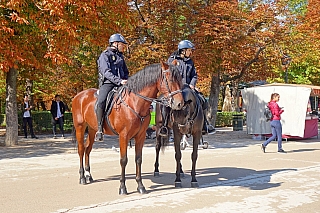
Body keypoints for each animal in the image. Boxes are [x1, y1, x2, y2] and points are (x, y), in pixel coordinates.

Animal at [71, 61, 184, 195]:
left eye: (180, 79)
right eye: (170, 79)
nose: (180, 104)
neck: (135, 102)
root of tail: (79, 95)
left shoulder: (140, 136)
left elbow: (138, 159)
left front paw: (140, 185)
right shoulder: (123, 136)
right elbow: (123, 160)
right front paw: (122, 187)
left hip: (93, 130)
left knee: (88, 149)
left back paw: (89, 175)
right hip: (80, 127)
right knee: (81, 150)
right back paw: (82, 177)